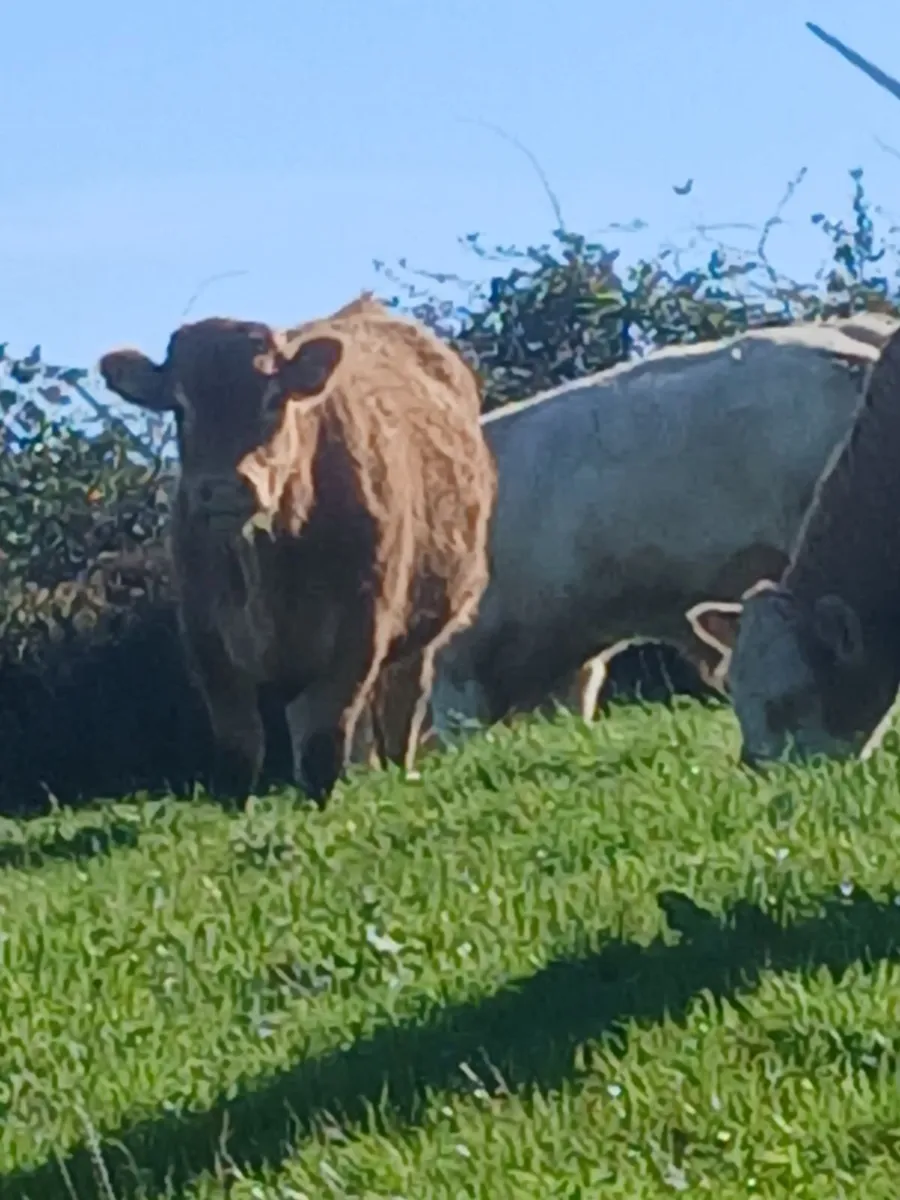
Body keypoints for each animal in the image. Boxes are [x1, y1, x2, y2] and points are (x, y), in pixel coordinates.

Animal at [98, 295, 496, 805]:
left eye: (274, 399)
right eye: (180, 407)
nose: (224, 489)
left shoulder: (361, 627)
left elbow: (325, 740)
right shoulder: (205, 637)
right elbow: (239, 748)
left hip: (421, 630)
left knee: (399, 707)